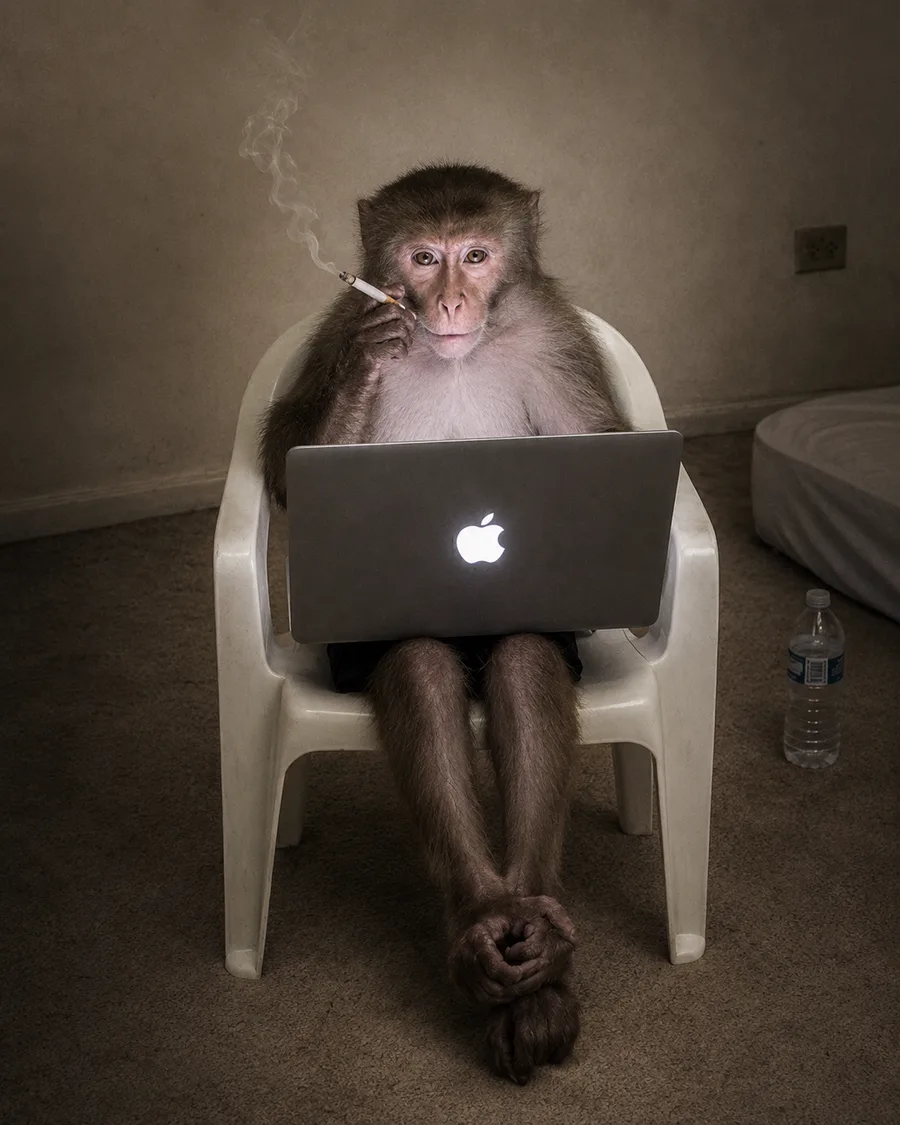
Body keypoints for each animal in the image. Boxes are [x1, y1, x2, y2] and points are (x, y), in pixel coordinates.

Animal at [260, 163, 626, 1084]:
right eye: (423, 258)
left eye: (477, 254)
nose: (452, 299)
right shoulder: (334, 324)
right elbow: (284, 457)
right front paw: (370, 359)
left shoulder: (556, 335)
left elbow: (604, 440)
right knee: (418, 664)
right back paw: (482, 921)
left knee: (527, 654)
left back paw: (536, 947)